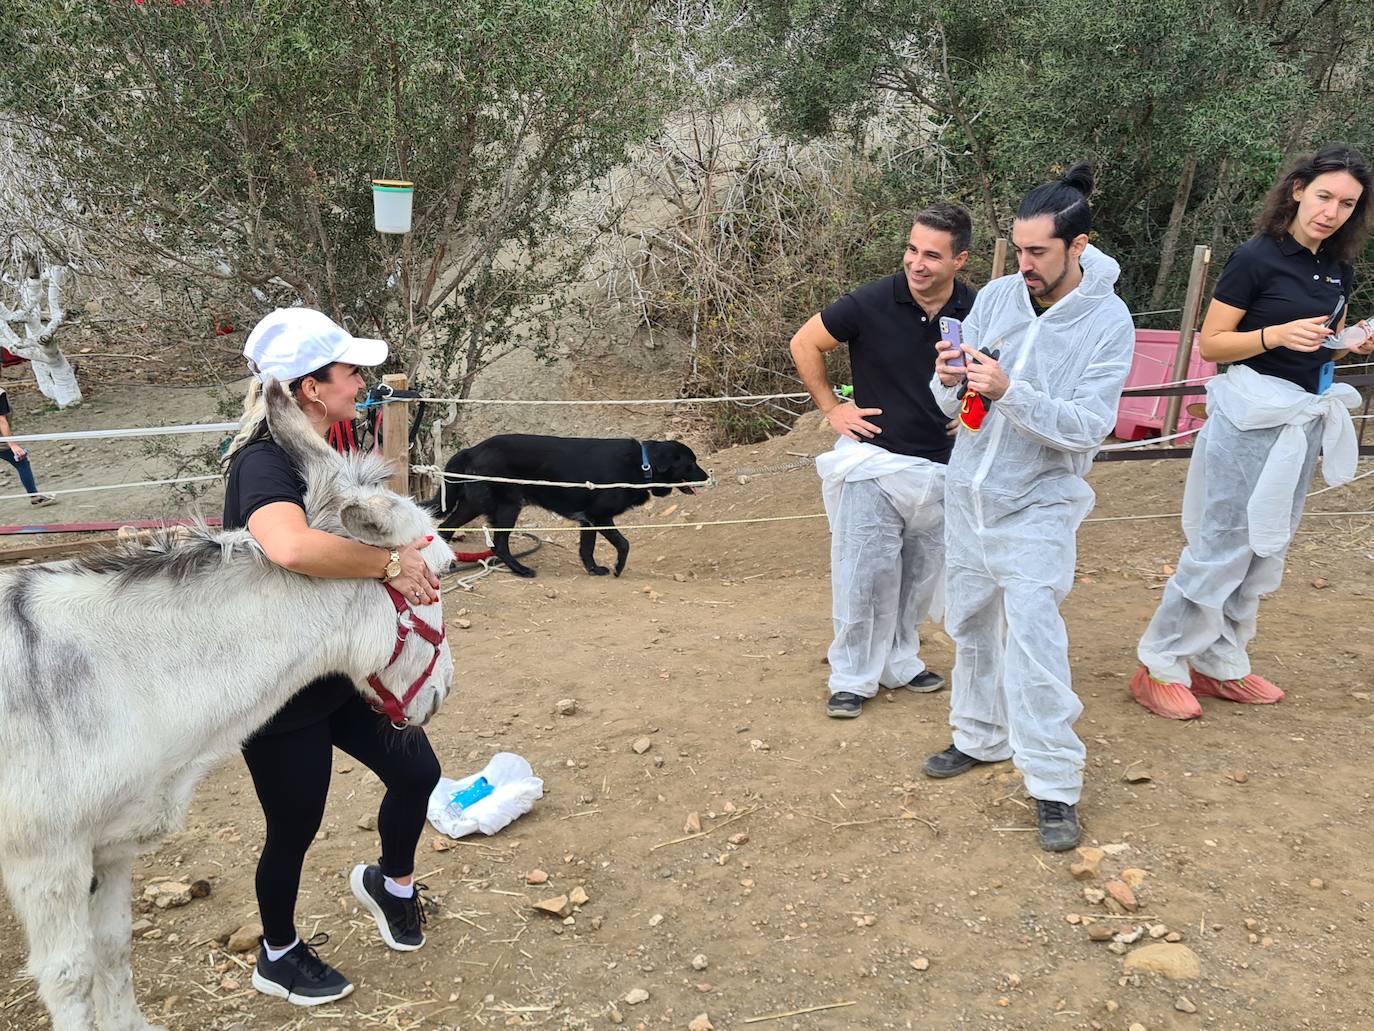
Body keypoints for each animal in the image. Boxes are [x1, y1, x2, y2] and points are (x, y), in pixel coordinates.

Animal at [428, 434, 708, 582]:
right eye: (691, 463)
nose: (707, 477)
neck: (643, 464)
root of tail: (472, 450)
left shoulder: (588, 519)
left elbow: (587, 548)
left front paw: (593, 569)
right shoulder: (600, 516)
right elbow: (624, 543)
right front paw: (618, 568)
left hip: (473, 505)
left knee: (445, 529)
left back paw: (444, 566)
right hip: (507, 507)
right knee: (499, 544)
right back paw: (521, 570)